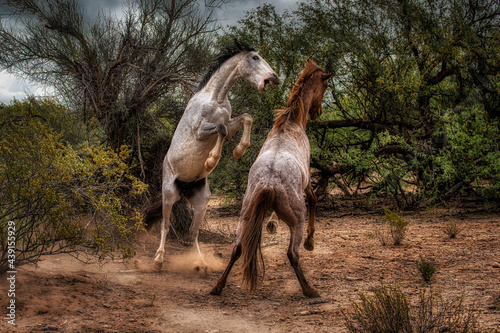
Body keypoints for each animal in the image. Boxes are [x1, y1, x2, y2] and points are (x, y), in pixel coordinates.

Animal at [146, 39, 282, 270]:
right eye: (255, 57)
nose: (273, 78)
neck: (215, 98)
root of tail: (184, 187)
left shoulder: (231, 122)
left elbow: (245, 118)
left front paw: (238, 151)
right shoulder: (201, 130)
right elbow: (220, 128)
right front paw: (211, 161)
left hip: (202, 201)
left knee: (193, 233)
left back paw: (200, 264)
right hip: (169, 194)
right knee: (165, 225)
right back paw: (158, 259)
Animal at [210, 58, 332, 296]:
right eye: (325, 85)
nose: (318, 112)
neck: (290, 125)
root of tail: (268, 183)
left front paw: (272, 224)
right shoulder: (306, 182)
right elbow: (314, 200)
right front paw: (310, 241)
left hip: (245, 216)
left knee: (237, 249)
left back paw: (218, 286)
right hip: (296, 221)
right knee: (292, 254)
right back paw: (309, 289)